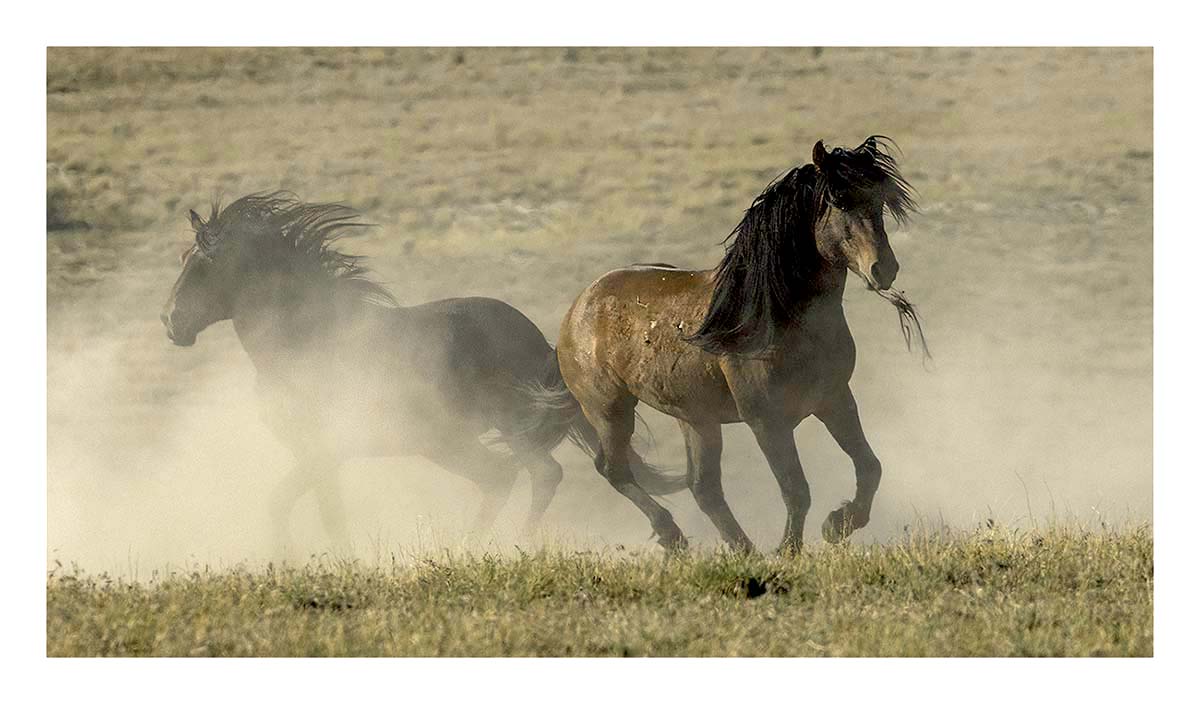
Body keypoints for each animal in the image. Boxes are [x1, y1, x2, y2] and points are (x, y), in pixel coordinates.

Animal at [160, 192, 684, 554]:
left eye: (202, 266)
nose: (170, 321)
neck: (300, 340)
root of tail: (540, 342)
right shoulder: (323, 454)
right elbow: (326, 512)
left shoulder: (322, 447)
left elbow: (281, 503)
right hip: (454, 440)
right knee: (514, 476)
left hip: (485, 431)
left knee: (530, 474)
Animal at [542, 137, 919, 553]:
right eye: (838, 200)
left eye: (879, 200)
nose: (883, 269)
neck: (776, 316)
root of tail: (577, 310)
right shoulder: (766, 421)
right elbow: (796, 489)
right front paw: (789, 550)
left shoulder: (834, 400)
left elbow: (870, 466)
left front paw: (837, 525)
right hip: (611, 410)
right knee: (615, 470)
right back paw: (675, 537)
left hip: (696, 420)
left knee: (702, 487)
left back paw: (743, 550)